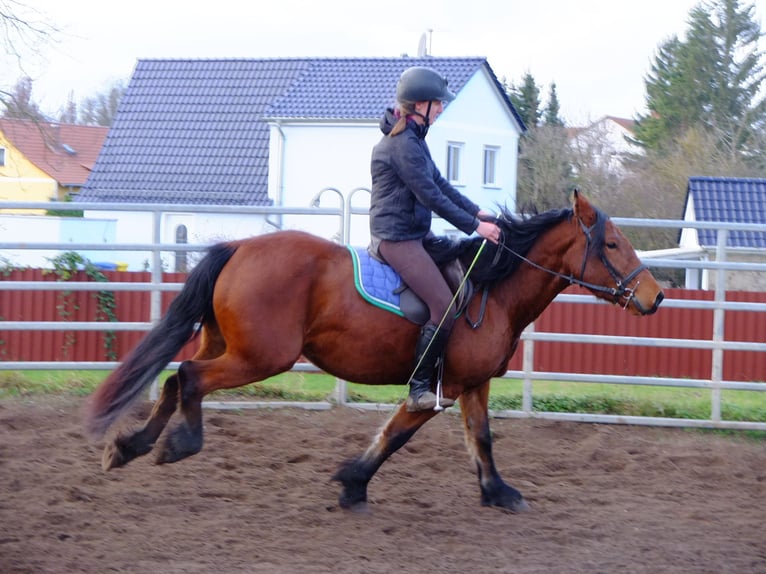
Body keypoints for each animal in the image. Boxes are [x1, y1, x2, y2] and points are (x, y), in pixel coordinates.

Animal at [82, 191, 660, 516]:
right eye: (611, 244)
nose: (654, 296)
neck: (491, 290)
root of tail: (241, 247)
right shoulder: (442, 387)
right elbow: (396, 434)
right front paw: (353, 485)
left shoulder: (474, 384)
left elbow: (482, 439)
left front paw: (498, 493)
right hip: (258, 358)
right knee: (190, 375)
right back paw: (179, 443)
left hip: (228, 344)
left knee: (174, 378)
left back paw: (129, 446)